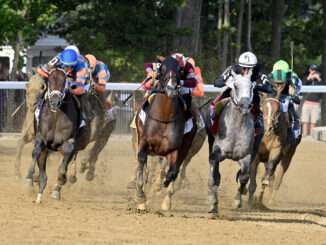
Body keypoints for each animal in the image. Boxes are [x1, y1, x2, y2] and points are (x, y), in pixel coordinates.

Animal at [134, 55, 196, 211]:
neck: (164, 117)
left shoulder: (174, 149)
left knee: (176, 169)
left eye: (180, 69)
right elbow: (142, 161)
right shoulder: (144, 140)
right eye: (161, 68)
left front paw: (161, 186)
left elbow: (172, 173)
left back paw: (165, 200)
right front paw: (140, 197)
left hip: (185, 147)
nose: (171, 88)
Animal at [206, 71, 258, 212]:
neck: (235, 129)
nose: (245, 106)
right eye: (235, 85)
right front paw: (211, 199)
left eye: (251, 86)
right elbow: (213, 176)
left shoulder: (246, 155)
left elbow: (244, 177)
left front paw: (237, 201)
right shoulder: (217, 150)